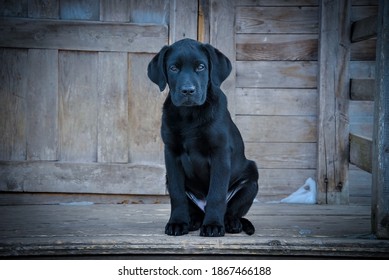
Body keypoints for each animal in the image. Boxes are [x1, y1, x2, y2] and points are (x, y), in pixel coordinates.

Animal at [147, 38, 256, 237]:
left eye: (200, 67)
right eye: (173, 68)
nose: (187, 91)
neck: (190, 115)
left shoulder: (220, 153)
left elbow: (216, 194)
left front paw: (213, 225)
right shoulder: (171, 154)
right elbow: (177, 194)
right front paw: (177, 222)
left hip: (251, 179)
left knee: (232, 210)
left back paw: (230, 223)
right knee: (194, 210)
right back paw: (193, 221)